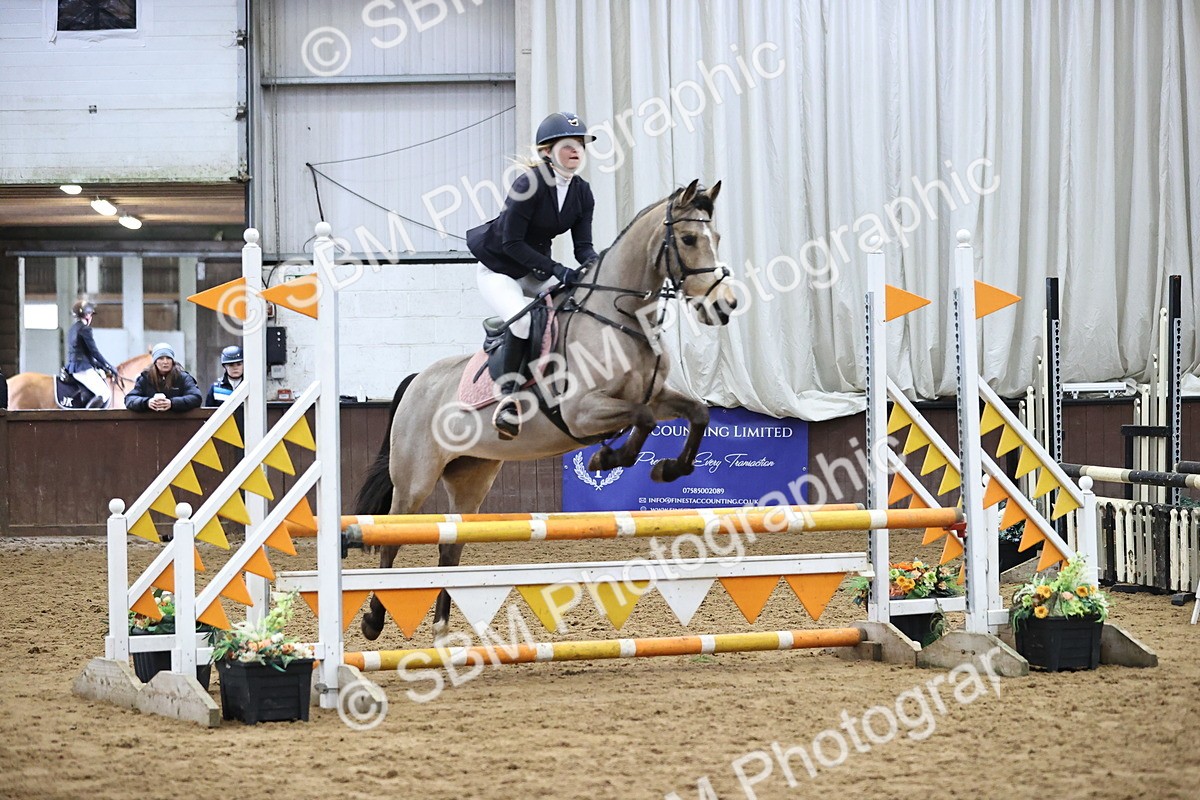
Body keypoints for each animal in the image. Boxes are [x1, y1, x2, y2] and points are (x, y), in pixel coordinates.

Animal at [353, 179, 738, 642]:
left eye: (716, 238)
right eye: (688, 239)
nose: (724, 306)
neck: (619, 318)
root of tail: (417, 380)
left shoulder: (654, 395)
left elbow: (698, 413)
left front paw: (667, 469)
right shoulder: (582, 412)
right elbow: (641, 421)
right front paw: (605, 458)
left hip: (471, 476)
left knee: (451, 542)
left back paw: (442, 628)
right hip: (415, 479)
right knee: (393, 535)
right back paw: (373, 621)